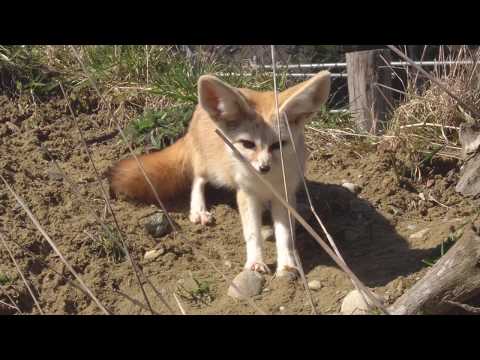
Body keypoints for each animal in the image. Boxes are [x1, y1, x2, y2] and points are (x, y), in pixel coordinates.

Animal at [110, 71, 332, 278]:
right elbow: (253, 233)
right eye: (248, 144)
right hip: (213, 169)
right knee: (197, 180)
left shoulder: (284, 196)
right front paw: (255, 262)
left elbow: (284, 235)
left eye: (278, 145)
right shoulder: (246, 194)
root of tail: (197, 113)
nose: (264, 168)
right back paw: (199, 209)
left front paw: (286, 265)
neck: (266, 182)